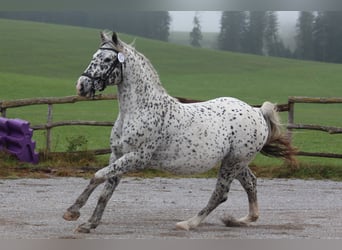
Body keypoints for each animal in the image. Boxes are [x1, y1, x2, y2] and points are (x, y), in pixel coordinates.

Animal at [62, 30, 296, 232]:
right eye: (95, 56)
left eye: (108, 60)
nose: (81, 86)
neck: (140, 109)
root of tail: (256, 111)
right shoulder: (117, 155)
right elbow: (106, 191)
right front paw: (88, 224)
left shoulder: (136, 157)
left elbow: (97, 176)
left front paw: (72, 212)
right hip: (236, 162)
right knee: (250, 183)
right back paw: (241, 220)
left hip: (233, 163)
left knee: (220, 193)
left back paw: (188, 223)